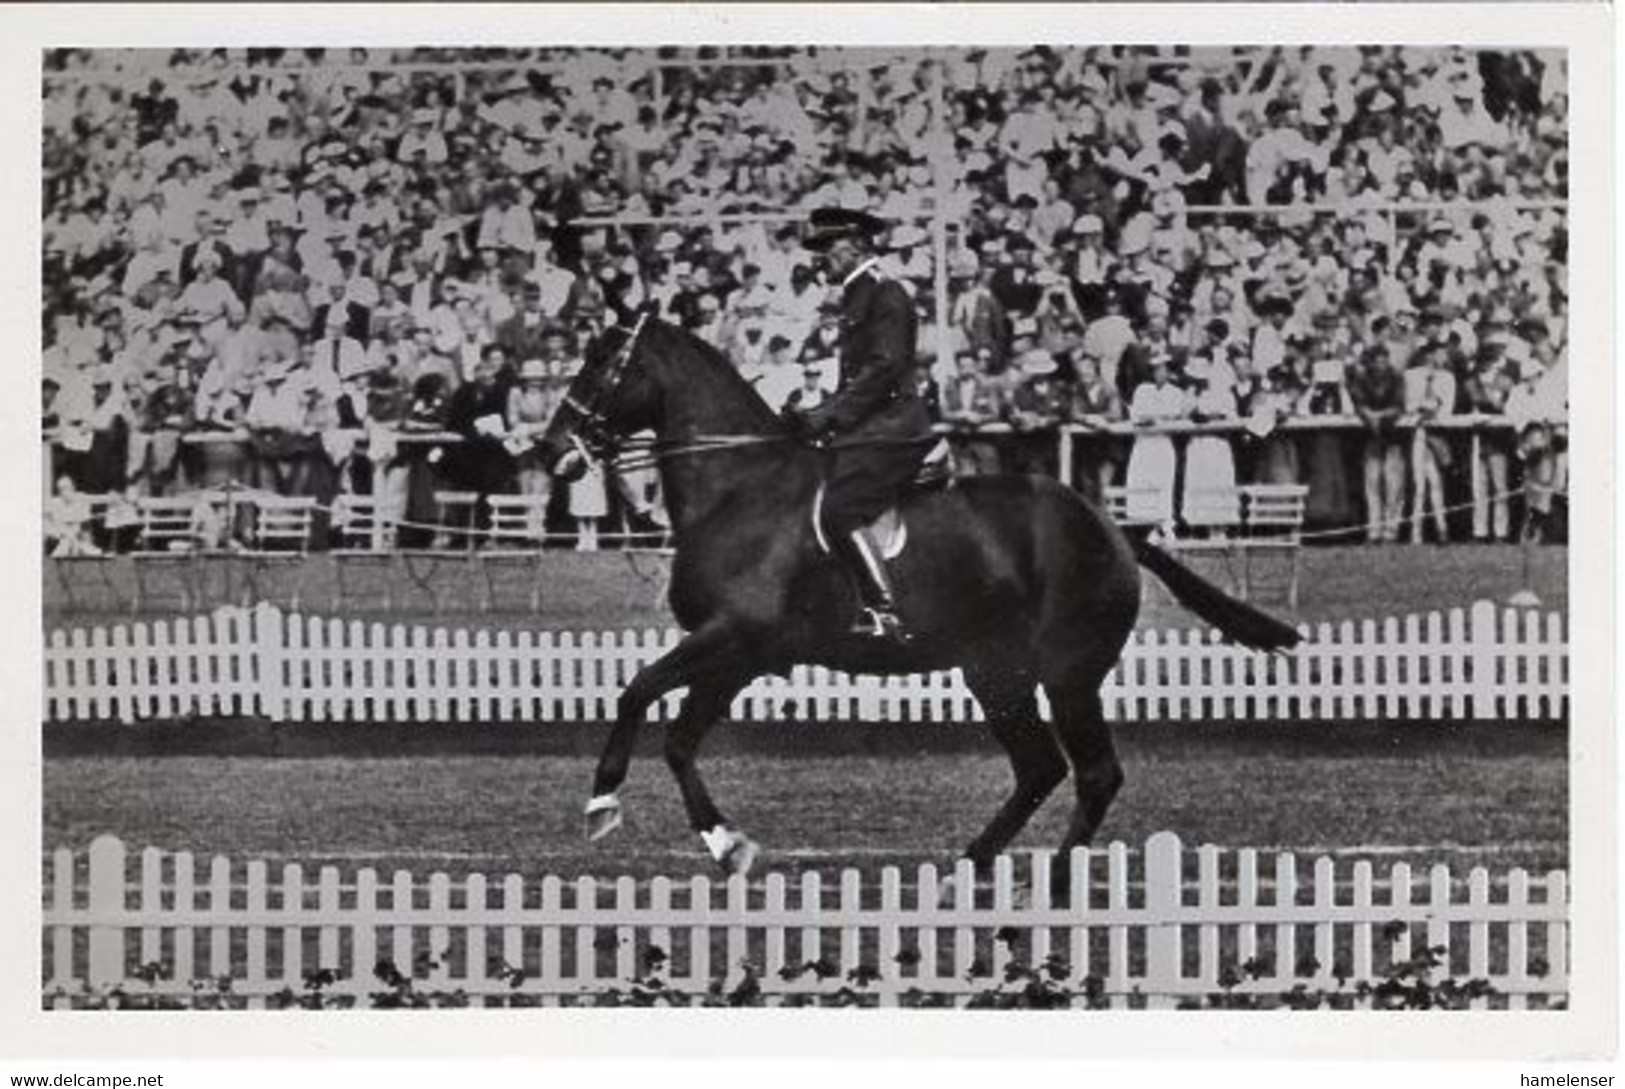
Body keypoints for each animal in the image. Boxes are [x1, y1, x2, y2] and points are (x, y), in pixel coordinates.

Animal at [539, 313, 1300, 877]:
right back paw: (971, 865)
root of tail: (1111, 527)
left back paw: (1054, 882)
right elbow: (678, 739)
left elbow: (637, 690)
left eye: (602, 363)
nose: (550, 451)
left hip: (1068, 672)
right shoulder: (738, 653)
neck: (738, 487)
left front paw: (604, 803)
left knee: (1094, 773)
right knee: (1039, 767)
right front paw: (728, 843)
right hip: (996, 671)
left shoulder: (732, 636)